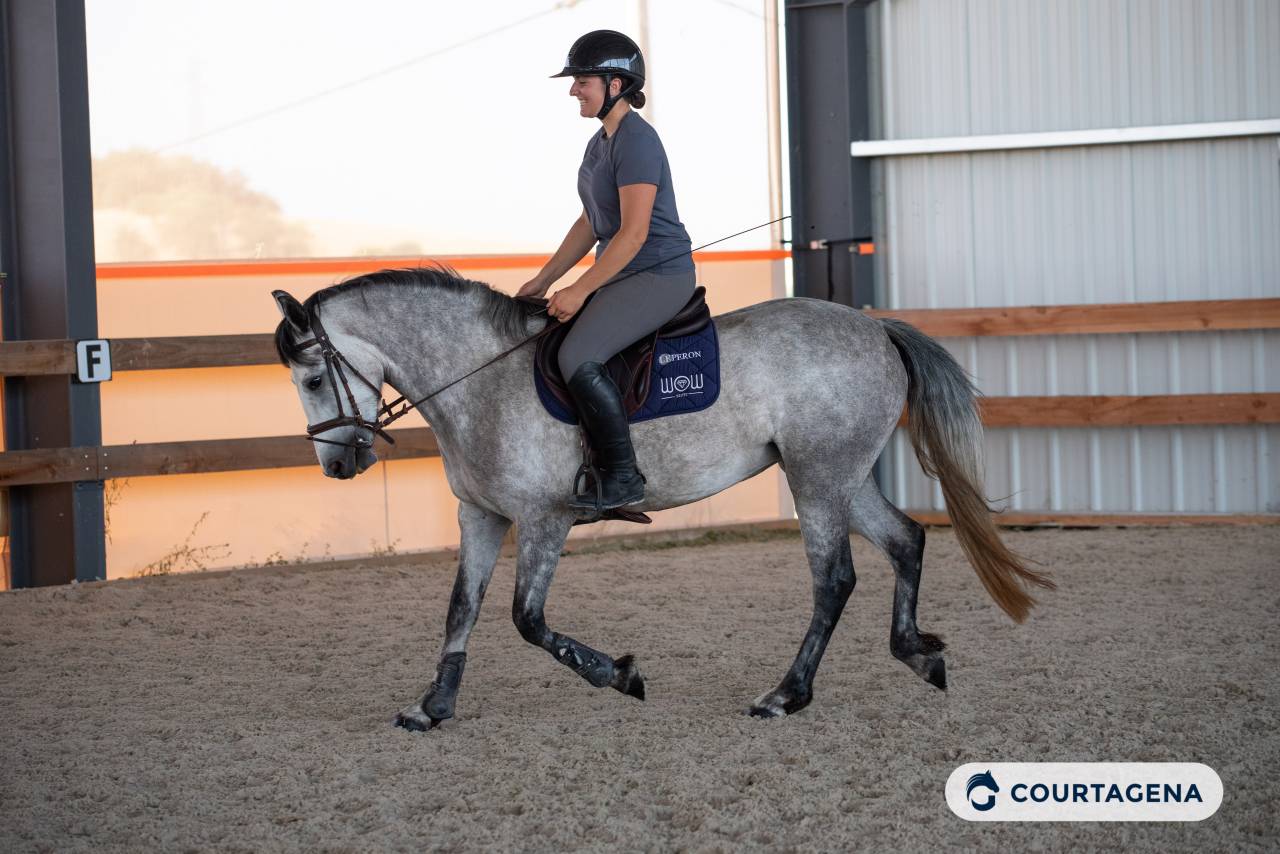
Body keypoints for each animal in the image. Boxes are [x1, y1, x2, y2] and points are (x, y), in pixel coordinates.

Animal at [271, 266, 1054, 731]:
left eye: (310, 378)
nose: (337, 464)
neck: (480, 379)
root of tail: (875, 326)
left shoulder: (544, 519)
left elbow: (528, 620)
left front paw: (619, 675)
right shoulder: (482, 516)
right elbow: (460, 609)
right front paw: (432, 707)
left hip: (819, 479)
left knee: (835, 578)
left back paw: (785, 694)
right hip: (842, 475)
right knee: (905, 541)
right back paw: (918, 654)